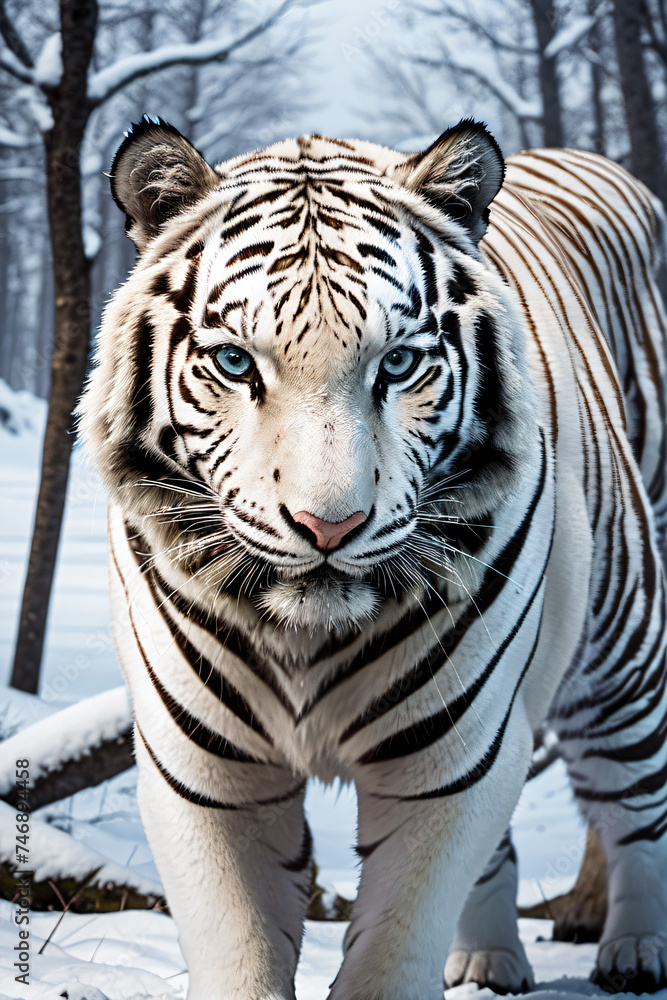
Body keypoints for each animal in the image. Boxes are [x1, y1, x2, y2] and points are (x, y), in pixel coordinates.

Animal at [78, 116, 667, 999]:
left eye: (397, 363)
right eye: (235, 362)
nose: (329, 526)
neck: (303, 638)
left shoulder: (448, 759)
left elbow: (394, 946)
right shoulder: (208, 774)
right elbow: (240, 947)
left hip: (620, 646)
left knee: (635, 800)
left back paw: (634, 947)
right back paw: (488, 961)